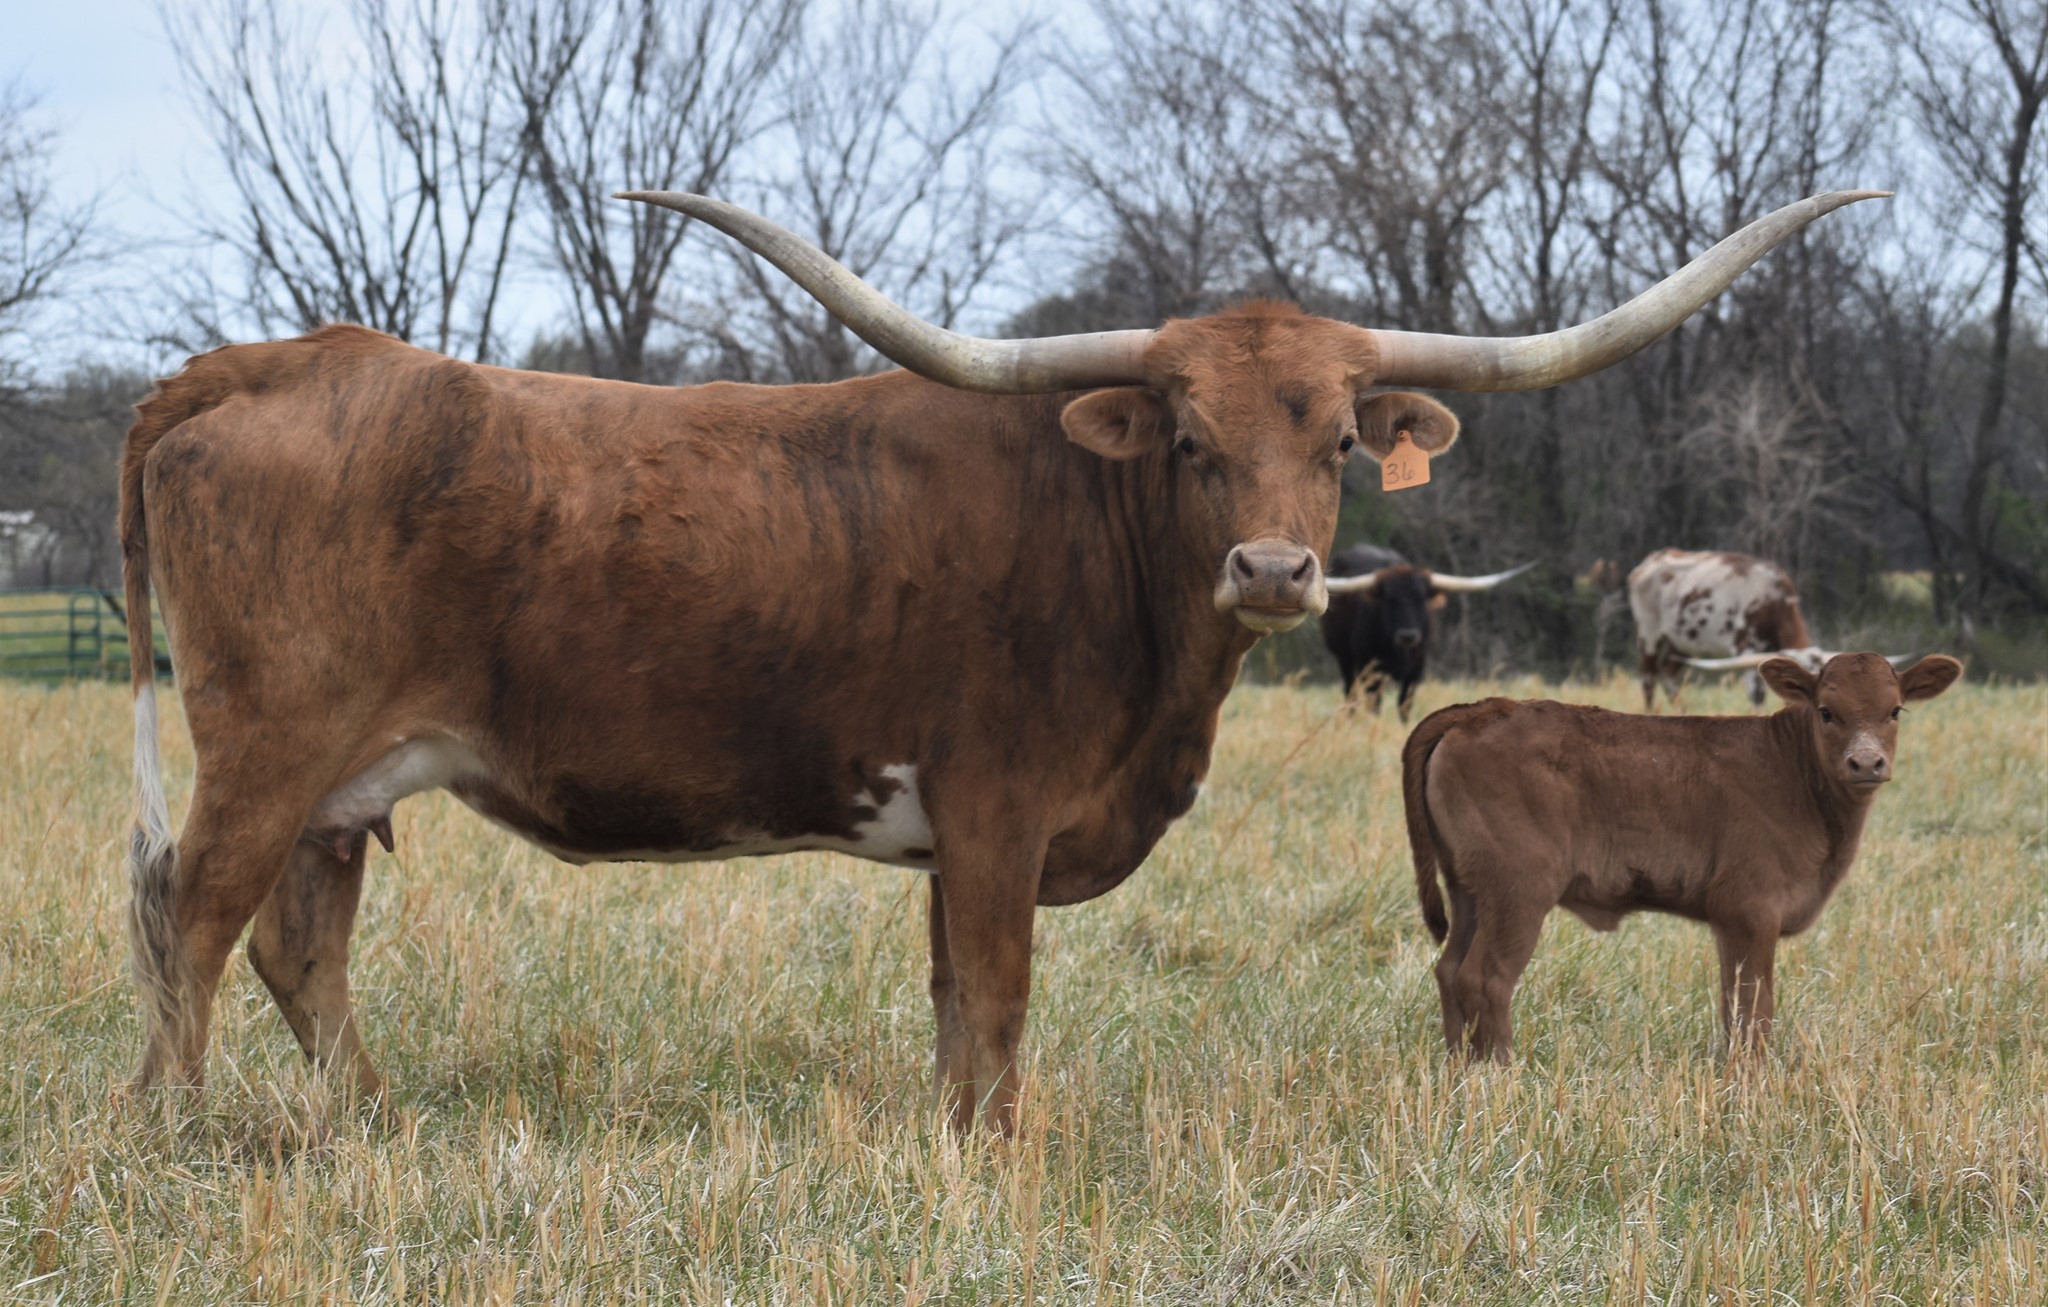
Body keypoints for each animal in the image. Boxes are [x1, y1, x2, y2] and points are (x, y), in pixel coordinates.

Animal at [1318, 544, 1534, 721]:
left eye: (1421, 598)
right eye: (1389, 600)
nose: (1408, 636)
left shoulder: (1417, 669)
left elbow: (1405, 704)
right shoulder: (1371, 667)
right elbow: (1374, 703)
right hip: (1344, 657)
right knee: (1350, 691)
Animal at [1401, 652, 1963, 1062]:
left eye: (1895, 710)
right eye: (1827, 711)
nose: (1866, 762)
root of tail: (1485, 707)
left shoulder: (1731, 922)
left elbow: (1734, 1004)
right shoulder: (1751, 908)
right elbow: (1754, 1006)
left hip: (1468, 890)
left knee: (1449, 970)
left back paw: (1459, 1067)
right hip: (1518, 891)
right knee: (1486, 977)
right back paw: (1501, 1071)